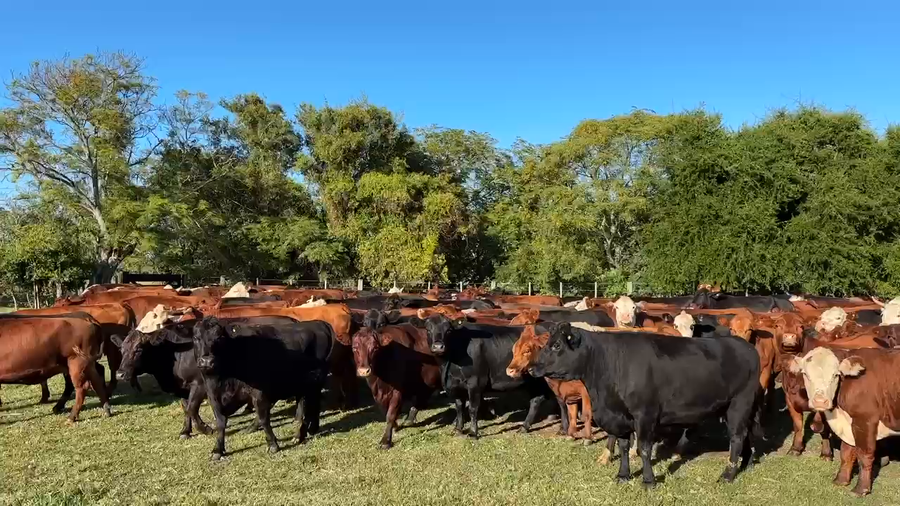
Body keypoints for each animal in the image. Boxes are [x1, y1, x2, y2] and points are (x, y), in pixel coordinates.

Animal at [193, 316, 334, 459]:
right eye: (196, 337)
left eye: (219, 337)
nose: (207, 361)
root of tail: (318, 323)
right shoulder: (213, 397)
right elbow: (220, 423)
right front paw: (217, 450)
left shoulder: (259, 394)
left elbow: (263, 418)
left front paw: (272, 445)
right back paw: (310, 430)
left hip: (313, 382)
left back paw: (300, 434)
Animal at [351, 315, 441, 448]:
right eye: (354, 348)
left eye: (375, 348)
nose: (364, 371)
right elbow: (386, 412)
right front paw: (395, 426)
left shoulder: (397, 391)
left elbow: (391, 414)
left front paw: (385, 441)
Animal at [412, 314, 554, 438]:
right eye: (428, 329)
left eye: (449, 330)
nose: (438, 347)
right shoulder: (454, 384)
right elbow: (459, 406)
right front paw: (458, 429)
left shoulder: (476, 382)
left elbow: (473, 408)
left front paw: (473, 432)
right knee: (536, 400)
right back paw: (525, 426)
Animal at [530, 323, 762, 486]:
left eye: (557, 345)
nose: (532, 368)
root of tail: (744, 345)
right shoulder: (619, 417)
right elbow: (623, 447)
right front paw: (623, 475)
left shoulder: (645, 414)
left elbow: (644, 448)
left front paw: (648, 481)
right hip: (737, 406)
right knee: (747, 433)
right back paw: (747, 463)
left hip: (740, 403)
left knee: (736, 437)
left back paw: (727, 475)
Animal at [789, 347, 900, 496]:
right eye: (805, 374)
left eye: (835, 375)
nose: (820, 401)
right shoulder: (847, 424)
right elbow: (846, 452)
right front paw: (841, 480)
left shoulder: (865, 420)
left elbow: (864, 455)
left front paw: (861, 489)